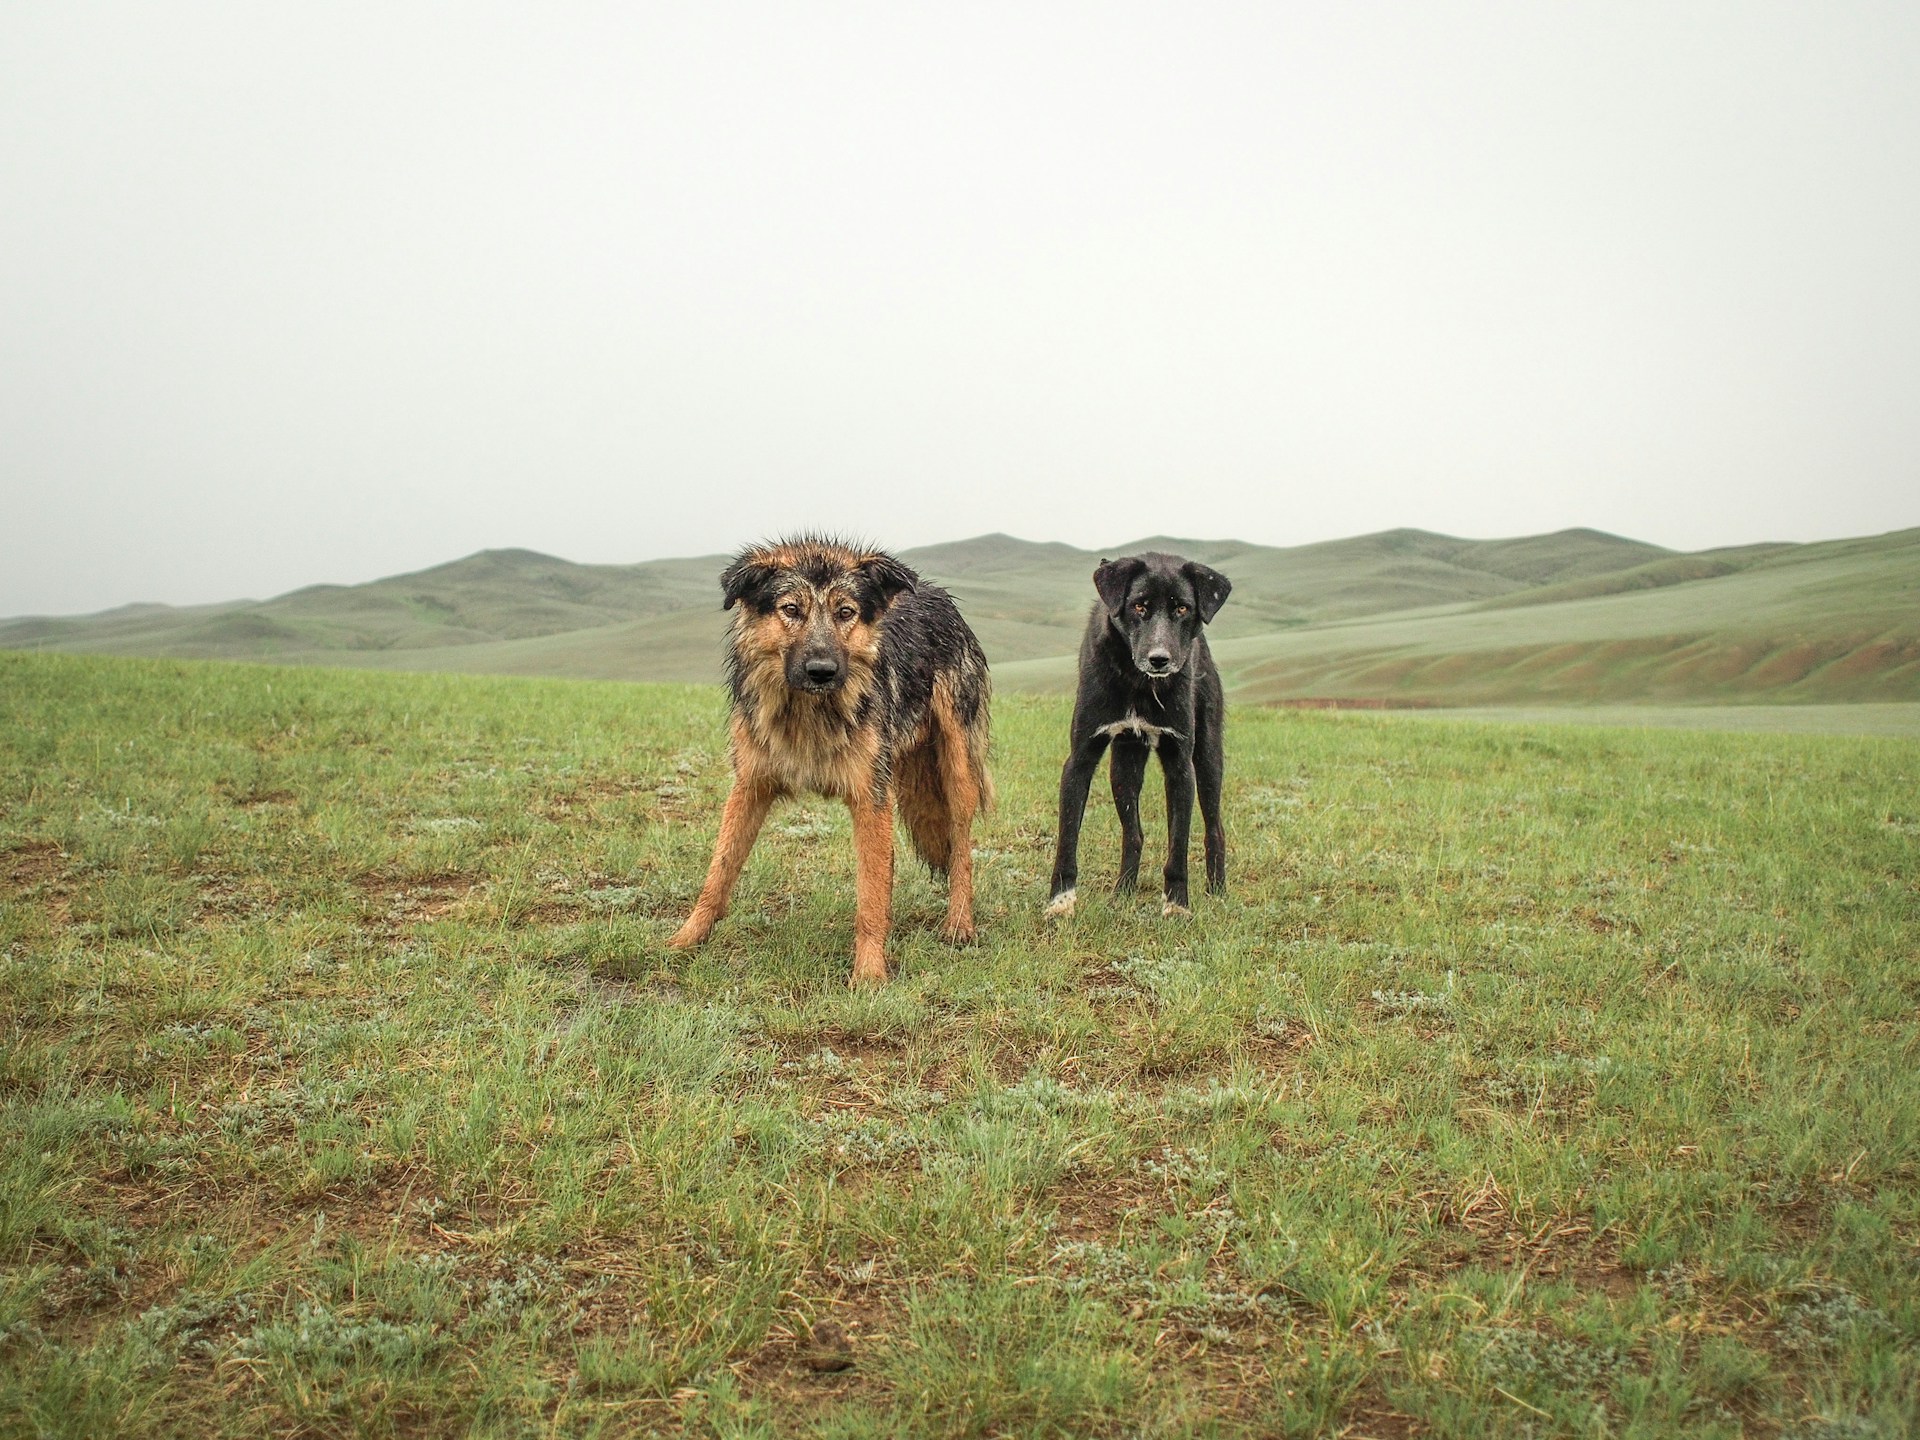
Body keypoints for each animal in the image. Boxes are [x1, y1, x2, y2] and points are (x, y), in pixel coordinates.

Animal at [668, 537, 990, 990]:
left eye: (845, 612)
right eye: (791, 609)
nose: (822, 671)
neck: (809, 713)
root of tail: (939, 595)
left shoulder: (870, 796)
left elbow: (870, 897)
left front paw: (869, 974)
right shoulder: (750, 786)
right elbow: (719, 871)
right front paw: (685, 939)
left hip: (957, 768)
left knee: (961, 848)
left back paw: (959, 924)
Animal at [1052, 552, 1228, 913]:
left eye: (1182, 608)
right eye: (1139, 606)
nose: (1159, 659)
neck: (1138, 683)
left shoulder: (1180, 765)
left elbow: (1178, 844)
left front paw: (1177, 904)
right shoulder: (1080, 758)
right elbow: (1067, 837)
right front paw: (1060, 901)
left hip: (1208, 758)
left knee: (1214, 827)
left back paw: (1218, 892)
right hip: (1124, 767)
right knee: (1134, 835)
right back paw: (1122, 892)